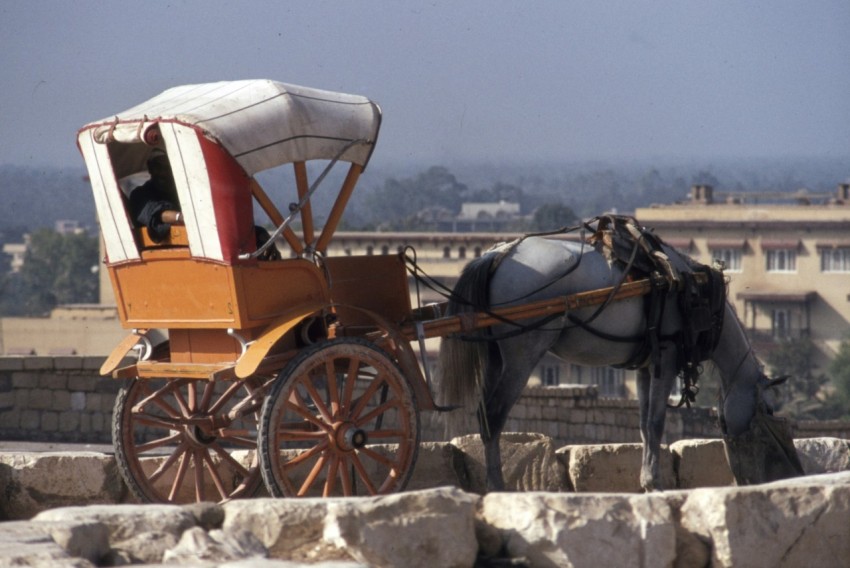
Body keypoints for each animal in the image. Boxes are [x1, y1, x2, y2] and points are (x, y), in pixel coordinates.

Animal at [438, 218, 804, 491]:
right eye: (769, 409)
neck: (695, 292)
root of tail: (499, 254)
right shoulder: (666, 359)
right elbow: (656, 423)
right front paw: (654, 483)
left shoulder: (645, 367)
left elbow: (643, 425)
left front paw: (646, 479)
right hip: (522, 356)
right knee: (494, 413)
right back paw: (496, 486)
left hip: (496, 356)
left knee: (484, 414)